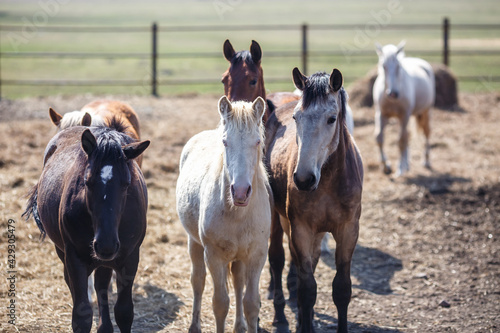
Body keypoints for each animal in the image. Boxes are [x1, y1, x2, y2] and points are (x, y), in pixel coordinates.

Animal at [23, 120, 148, 332]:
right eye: (87, 182)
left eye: (126, 183)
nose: (106, 244)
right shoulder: (75, 257)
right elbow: (82, 316)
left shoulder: (131, 257)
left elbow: (124, 312)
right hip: (64, 251)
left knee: (101, 284)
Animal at [177, 94, 272, 330]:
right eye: (225, 142)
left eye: (257, 141)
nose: (240, 191)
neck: (238, 214)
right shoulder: (214, 256)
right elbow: (220, 303)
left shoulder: (257, 255)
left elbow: (251, 303)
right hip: (194, 243)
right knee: (198, 281)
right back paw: (195, 326)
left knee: (238, 282)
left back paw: (239, 326)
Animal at [266, 68, 364, 332]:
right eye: (297, 118)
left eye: (331, 119)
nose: (303, 178)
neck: (327, 181)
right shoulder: (301, 229)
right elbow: (307, 289)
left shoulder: (348, 230)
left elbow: (341, 288)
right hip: (275, 217)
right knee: (277, 259)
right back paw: (280, 316)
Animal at [374, 41, 436, 175]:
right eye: (383, 66)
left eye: (398, 66)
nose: (393, 93)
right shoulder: (381, 114)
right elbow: (379, 138)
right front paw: (386, 166)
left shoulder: (404, 115)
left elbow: (401, 141)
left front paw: (400, 168)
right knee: (408, 135)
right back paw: (407, 164)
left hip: (426, 111)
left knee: (426, 133)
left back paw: (426, 161)